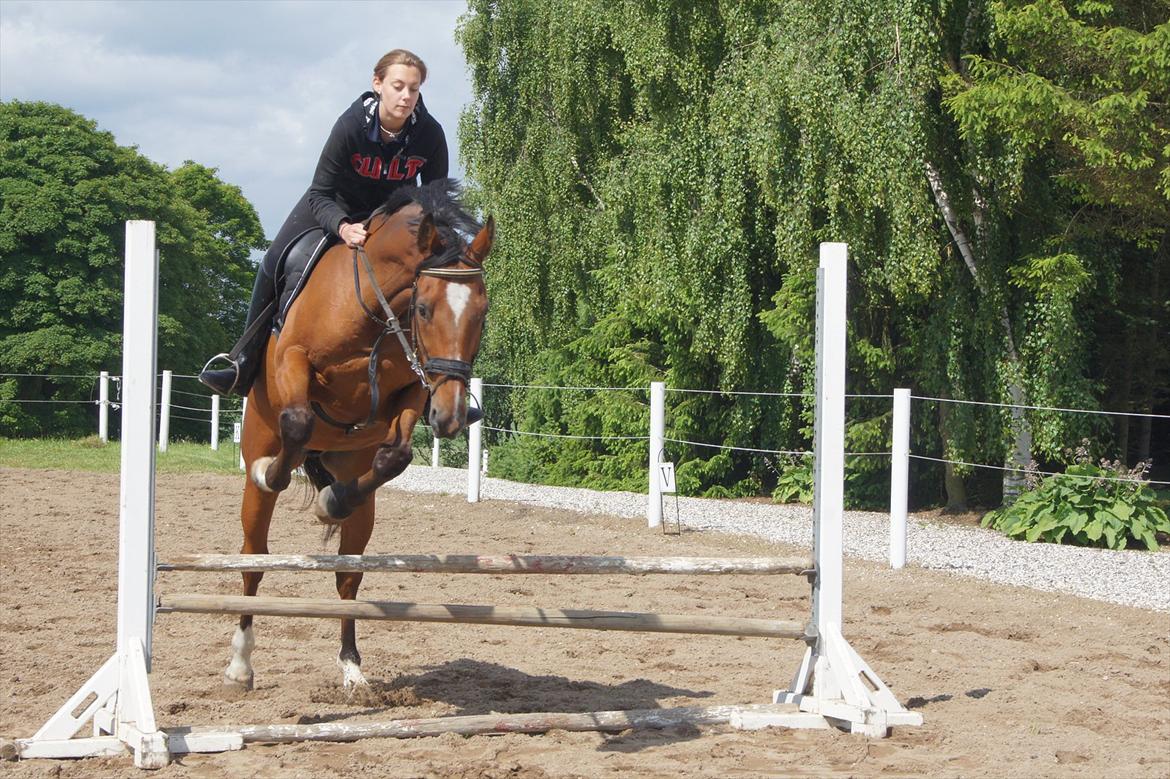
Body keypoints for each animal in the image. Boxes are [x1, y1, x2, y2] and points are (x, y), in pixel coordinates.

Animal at [225, 180, 491, 687]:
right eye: (423, 309)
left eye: (482, 315)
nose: (450, 417)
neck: (373, 308)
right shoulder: (293, 360)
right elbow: (298, 422)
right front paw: (273, 471)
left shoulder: (413, 387)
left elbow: (397, 456)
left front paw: (332, 502)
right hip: (255, 465)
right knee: (254, 557)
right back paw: (240, 663)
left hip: (356, 485)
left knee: (349, 574)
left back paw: (352, 667)